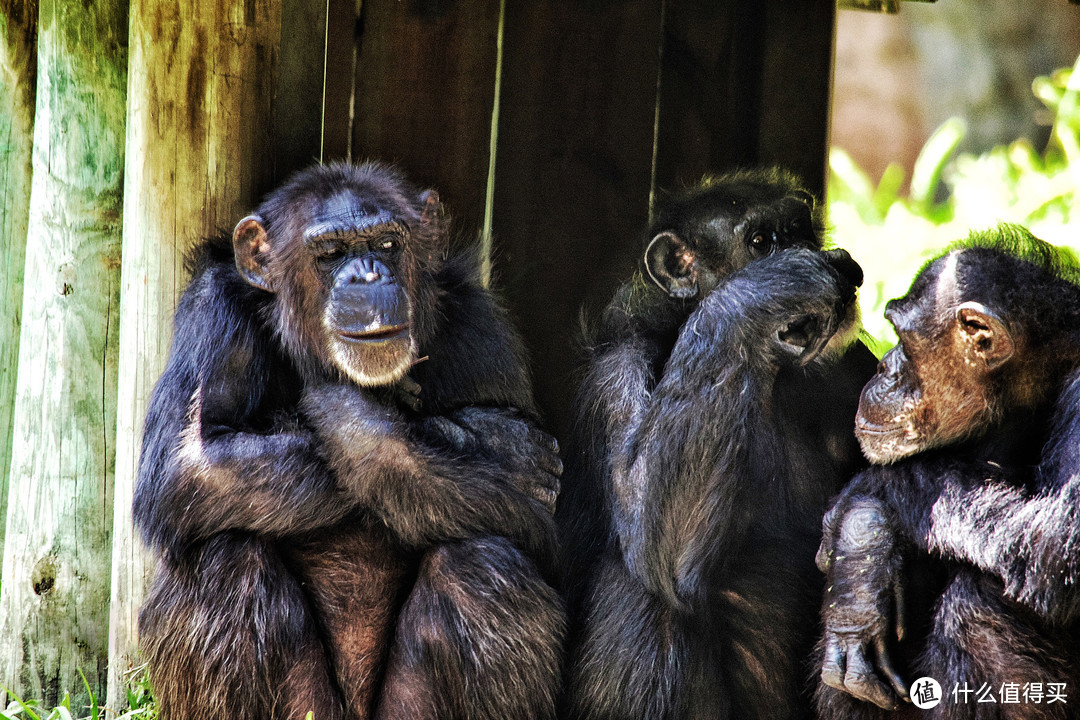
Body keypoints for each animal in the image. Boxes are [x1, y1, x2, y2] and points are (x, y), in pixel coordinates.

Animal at [135, 161, 565, 720]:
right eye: (332, 253)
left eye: (386, 243)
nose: (367, 275)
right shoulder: (211, 310)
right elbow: (183, 463)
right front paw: (505, 447)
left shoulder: (484, 332)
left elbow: (545, 537)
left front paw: (359, 417)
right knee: (227, 563)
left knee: (478, 565)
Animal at [557, 170, 876, 720]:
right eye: (762, 242)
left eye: (799, 230)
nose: (802, 252)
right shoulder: (614, 379)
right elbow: (648, 514)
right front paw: (770, 288)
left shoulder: (857, 370)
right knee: (649, 587)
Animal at [812, 225, 1080, 720]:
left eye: (902, 337)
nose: (883, 365)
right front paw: (860, 578)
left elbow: (1058, 541)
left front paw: (865, 506)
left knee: (979, 600)